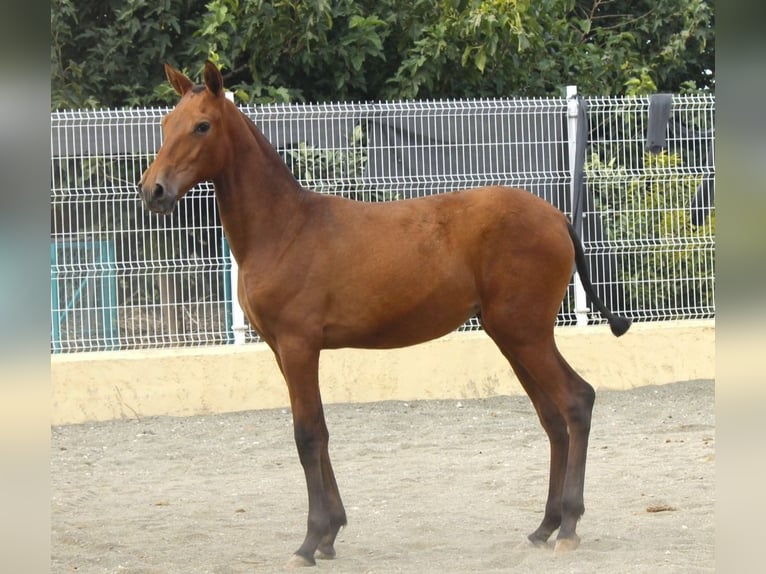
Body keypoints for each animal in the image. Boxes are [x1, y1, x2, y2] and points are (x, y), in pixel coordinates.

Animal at [138, 61, 631, 567]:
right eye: (165, 124)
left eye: (202, 126)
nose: (152, 190)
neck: (285, 229)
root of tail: (558, 218)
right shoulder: (283, 351)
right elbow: (321, 431)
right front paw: (331, 533)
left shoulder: (299, 346)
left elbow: (307, 434)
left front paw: (310, 542)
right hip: (511, 337)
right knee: (552, 418)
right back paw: (544, 526)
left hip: (527, 334)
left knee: (576, 400)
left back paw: (569, 526)